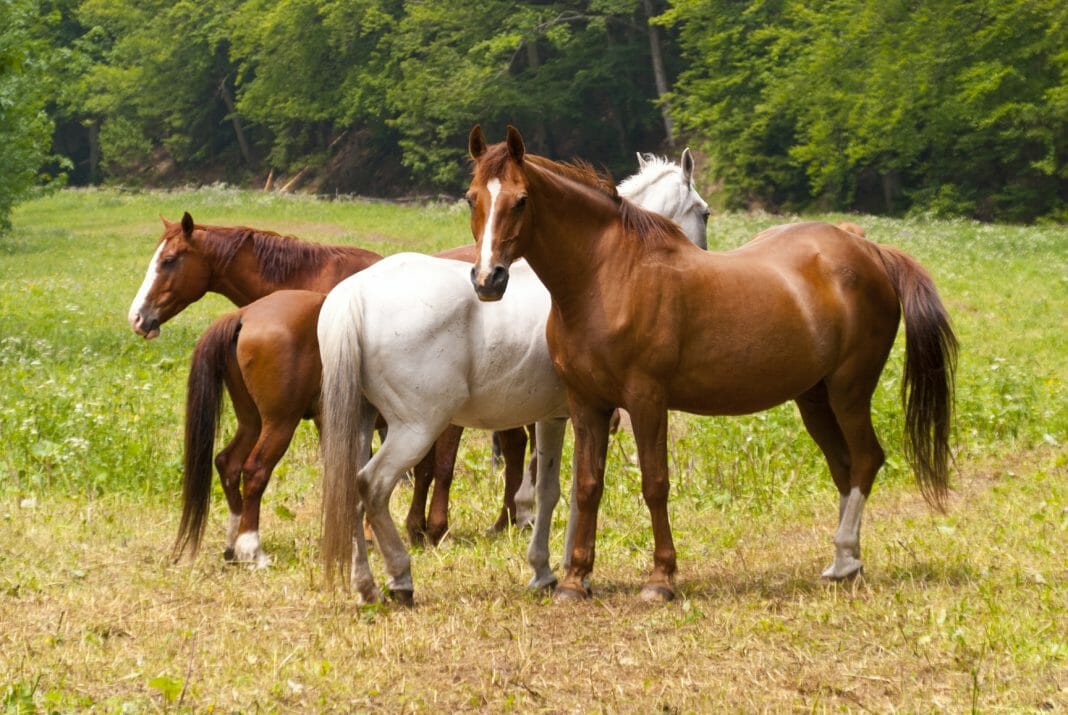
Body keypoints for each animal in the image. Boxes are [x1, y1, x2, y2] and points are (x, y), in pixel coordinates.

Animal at [317, 153, 710, 605]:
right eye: (704, 212)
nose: (699, 265)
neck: (596, 274)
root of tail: (355, 295)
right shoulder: (584, 414)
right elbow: (571, 489)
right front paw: (567, 570)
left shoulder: (555, 417)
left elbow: (554, 489)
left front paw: (550, 570)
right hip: (416, 428)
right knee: (373, 486)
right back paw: (401, 578)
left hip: (362, 421)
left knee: (350, 491)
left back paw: (366, 586)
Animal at [465, 125, 957, 602]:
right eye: (472, 198)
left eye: (521, 200)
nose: (488, 279)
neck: (607, 276)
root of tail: (870, 252)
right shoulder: (586, 403)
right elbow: (586, 486)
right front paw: (574, 580)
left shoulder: (646, 400)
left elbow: (655, 483)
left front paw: (660, 579)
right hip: (815, 399)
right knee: (845, 465)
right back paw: (844, 563)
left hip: (849, 391)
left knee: (867, 459)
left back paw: (845, 555)